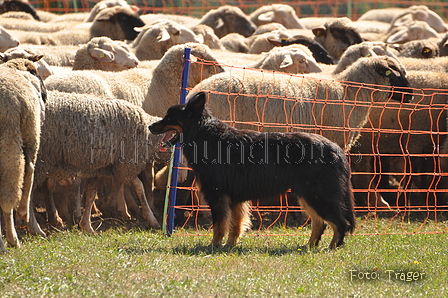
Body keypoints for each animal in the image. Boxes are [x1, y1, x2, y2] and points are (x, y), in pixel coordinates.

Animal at [29, 91, 165, 235]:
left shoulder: (98, 168)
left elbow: (91, 194)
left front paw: (86, 225)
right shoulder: (126, 163)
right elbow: (139, 187)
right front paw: (152, 219)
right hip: (40, 161)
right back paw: (36, 228)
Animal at [150, 91, 356, 249]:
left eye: (169, 117)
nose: (150, 126)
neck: (205, 135)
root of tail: (336, 149)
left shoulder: (217, 195)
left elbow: (219, 226)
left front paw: (214, 246)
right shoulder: (235, 199)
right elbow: (235, 226)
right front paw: (230, 246)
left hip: (318, 195)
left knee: (340, 223)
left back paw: (332, 248)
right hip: (308, 196)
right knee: (320, 223)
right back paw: (309, 247)